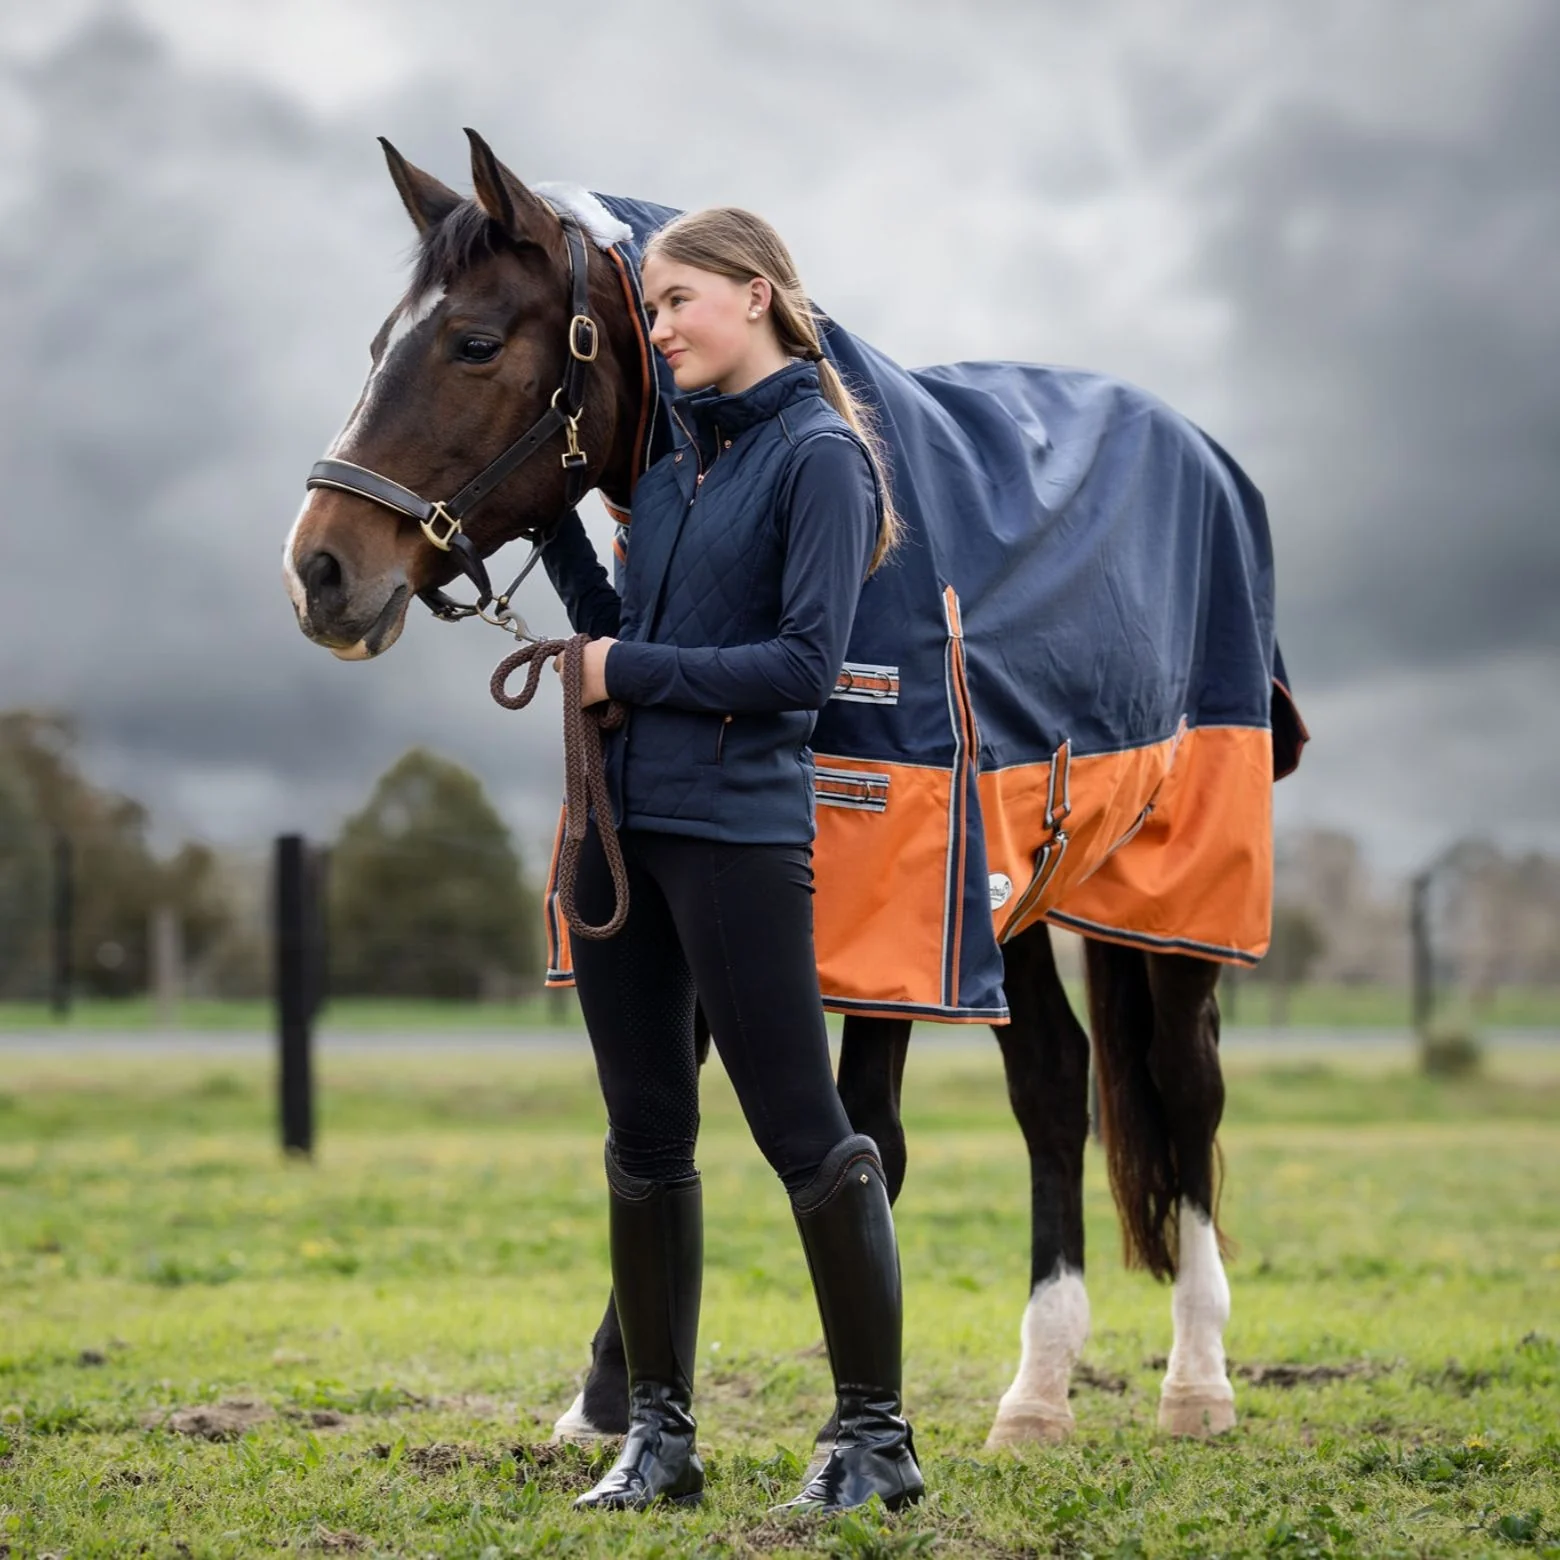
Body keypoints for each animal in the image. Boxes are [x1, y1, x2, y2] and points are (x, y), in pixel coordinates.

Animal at [284, 129, 1307, 1448]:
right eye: (379, 346)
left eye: (473, 343)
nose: (319, 572)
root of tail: (1205, 460)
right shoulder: (696, 884)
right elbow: (669, 1109)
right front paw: (608, 1400)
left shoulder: (883, 904)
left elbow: (863, 1135)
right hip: (1019, 893)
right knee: (1055, 1088)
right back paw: (1038, 1390)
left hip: (1173, 892)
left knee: (1185, 1084)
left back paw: (1196, 1380)